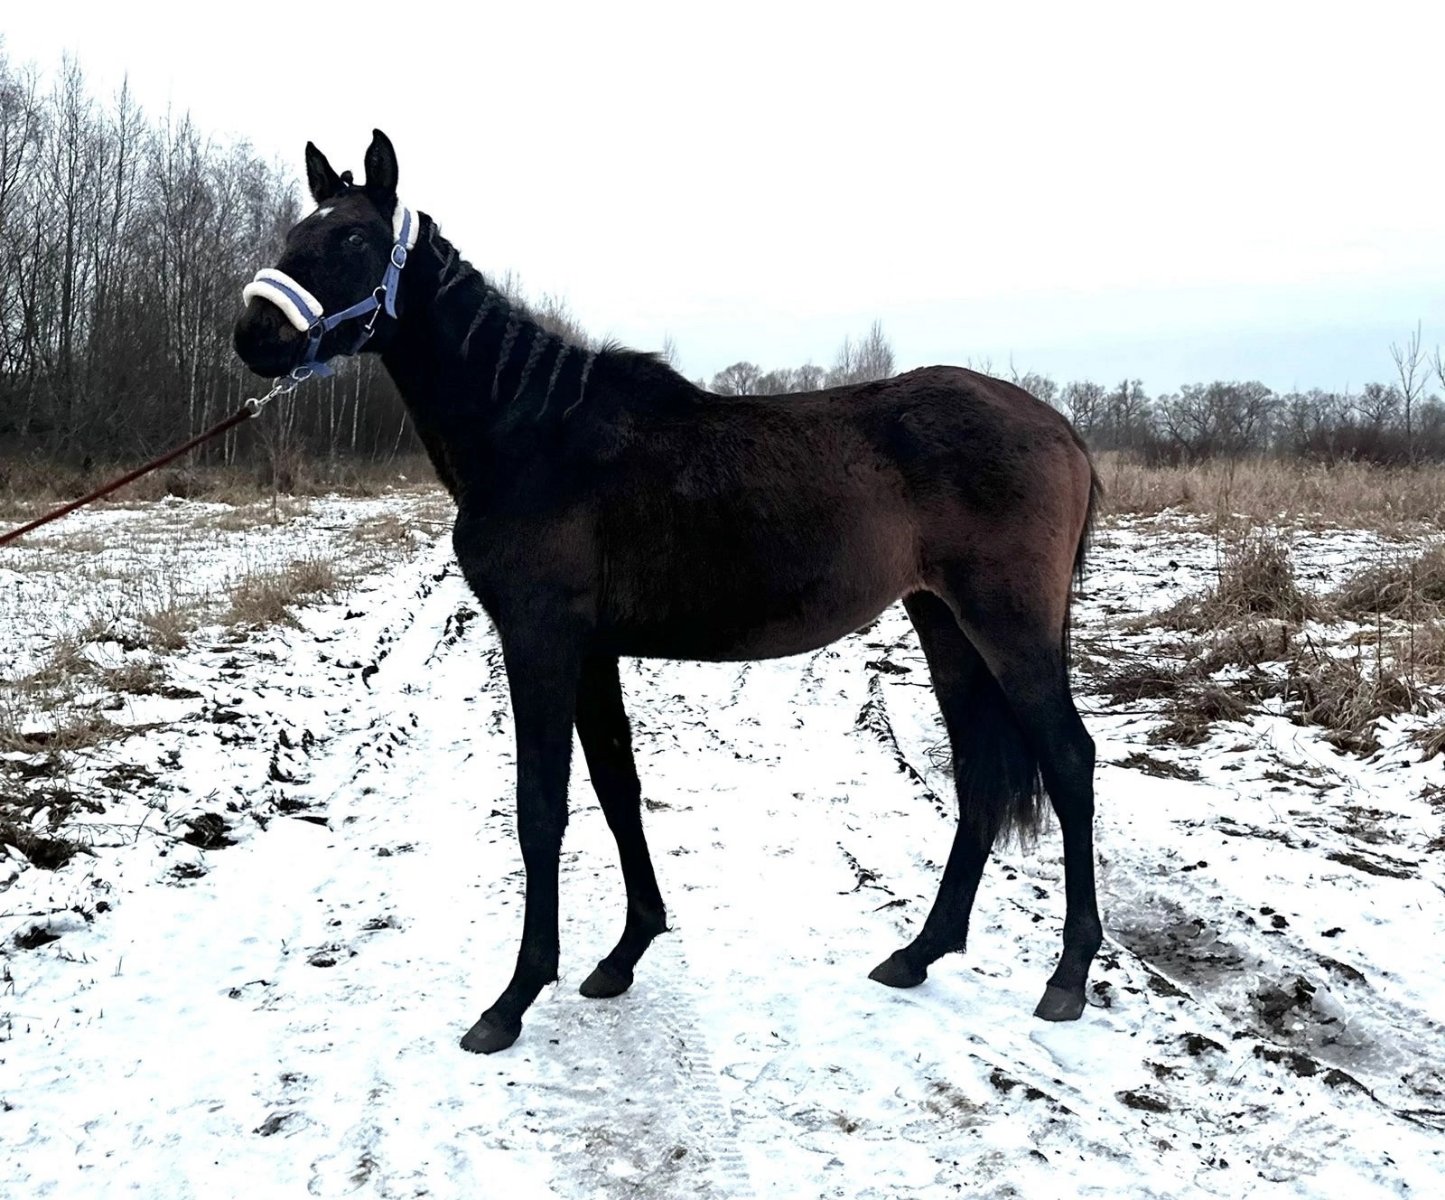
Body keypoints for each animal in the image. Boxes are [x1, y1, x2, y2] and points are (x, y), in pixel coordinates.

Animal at [233, 130, 1103, 1055]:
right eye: (297, 229)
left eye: (352, 238)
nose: (252, 335)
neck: (532, 431)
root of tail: (1060, 429)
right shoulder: (592, 652)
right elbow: (617, 790)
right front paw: (624, 952)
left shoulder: (541, 641)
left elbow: (540, 808)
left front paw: (512, 999)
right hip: (943, 622)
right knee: (978, 774)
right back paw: (918, 952)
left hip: (1006, 625)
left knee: (1068, 760)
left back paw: (1066, 977)